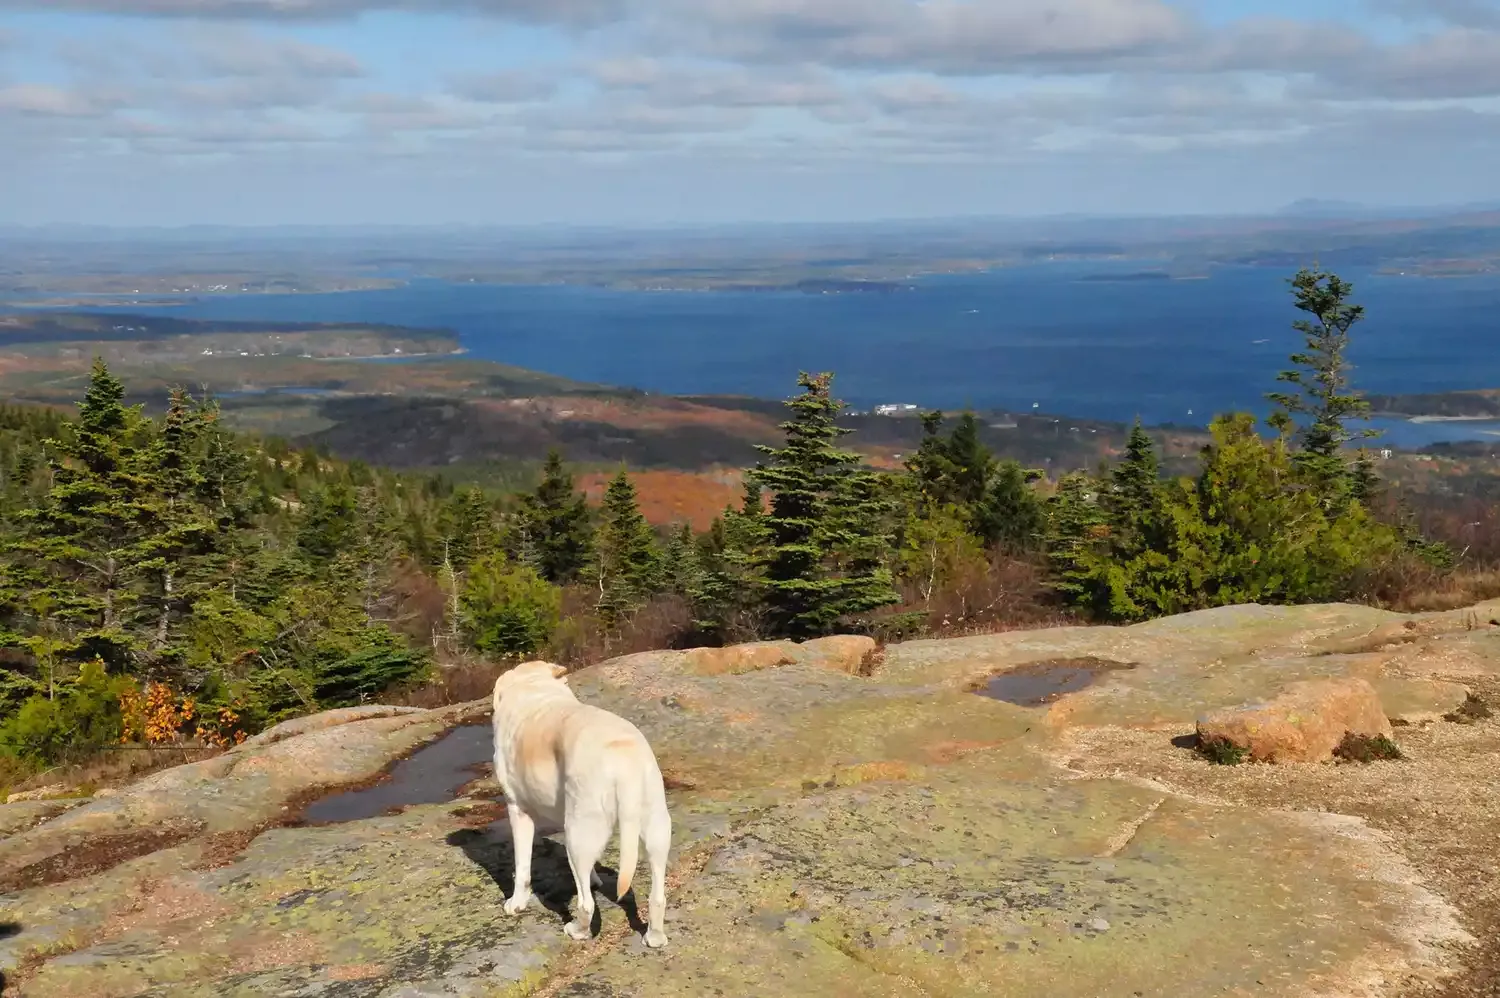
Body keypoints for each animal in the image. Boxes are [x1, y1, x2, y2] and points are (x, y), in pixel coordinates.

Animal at [489, 657, 672, 948]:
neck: (533, 689)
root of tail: (623, 759)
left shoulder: (518, 810)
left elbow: (522, 867)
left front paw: (516, 903)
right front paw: (596, 879)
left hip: (577, 836)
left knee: (586, 904)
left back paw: (577, 930)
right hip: (656, 829)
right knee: (657, 895)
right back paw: (654, 936)